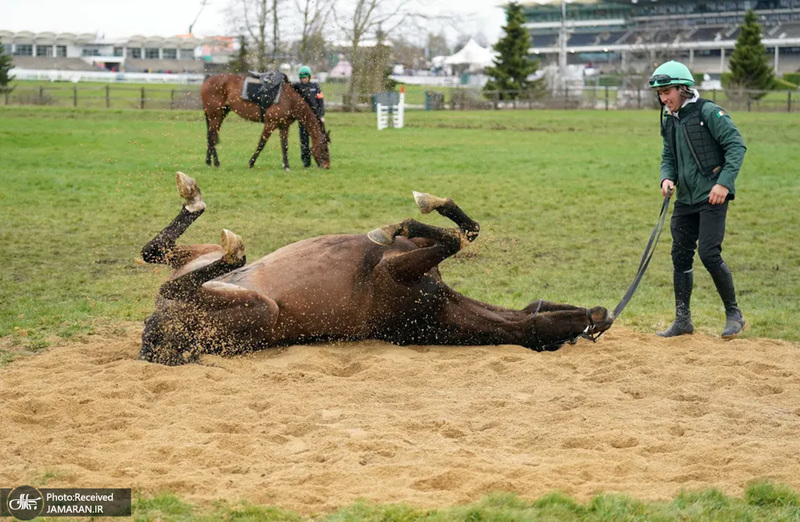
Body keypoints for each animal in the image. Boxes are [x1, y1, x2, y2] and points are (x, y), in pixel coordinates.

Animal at [139, 173, 612, 364]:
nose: (602, 315)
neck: (436, 311)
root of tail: (153, 335)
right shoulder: (403, 265)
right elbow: (463, 233)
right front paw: (418, 211)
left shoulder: (397, 271)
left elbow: (456, 237)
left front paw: (399, 223)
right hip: (206, 268)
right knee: (154, 251)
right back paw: (194, 197)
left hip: (249, 301)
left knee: (164, 259)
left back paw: (212, 222)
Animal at [202, 73, 330, 169]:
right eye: (325, 148)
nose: (327, 166)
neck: (289, 99)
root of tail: (207, 80)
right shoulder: (270, 124)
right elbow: (261, 144)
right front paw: (251, 162)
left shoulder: (284, 126)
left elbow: (285, 145)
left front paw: (286, 166)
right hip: (215, 115)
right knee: (212, 136)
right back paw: (217, 163)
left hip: (220, 115)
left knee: (210, 136)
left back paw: (209, 161)